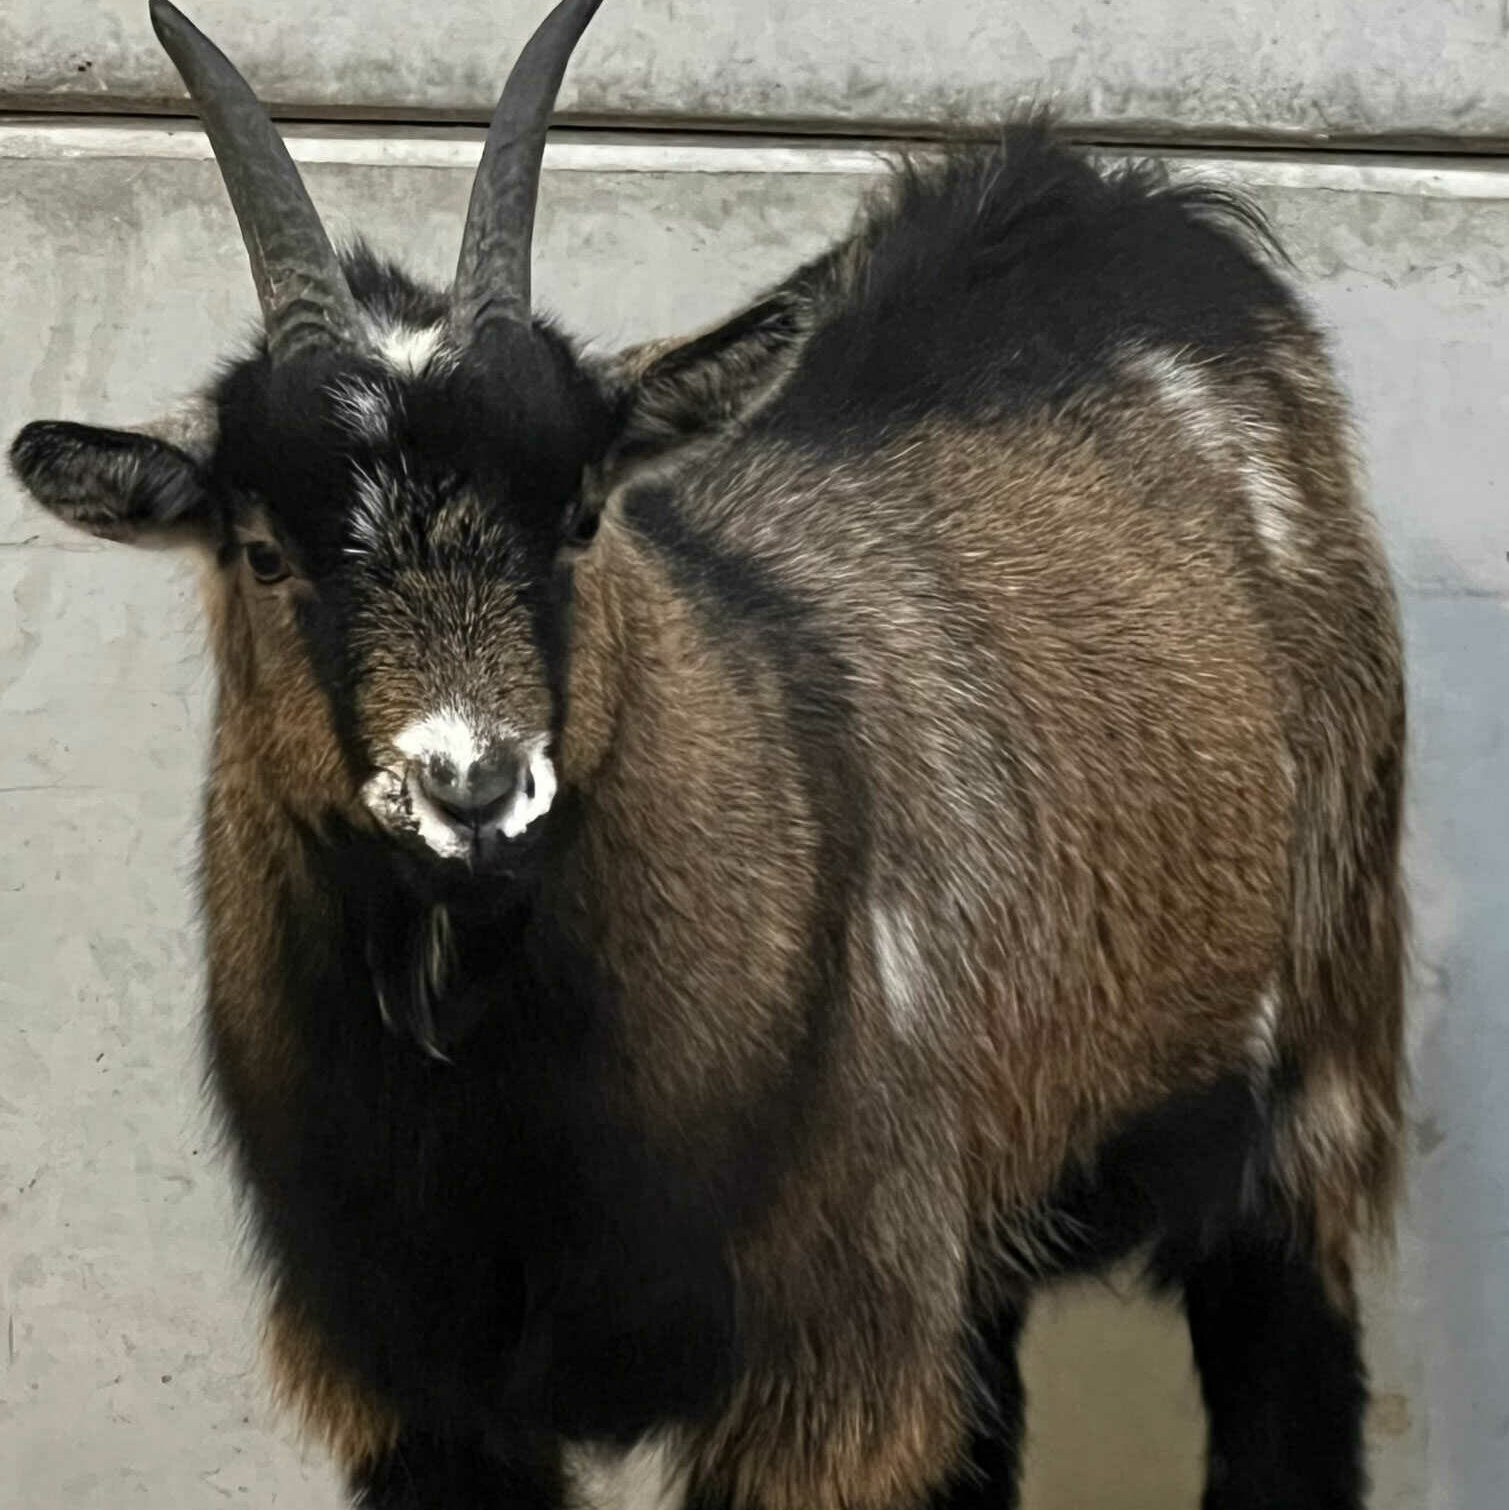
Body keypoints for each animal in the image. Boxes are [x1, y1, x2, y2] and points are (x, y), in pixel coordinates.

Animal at [9, 3, 1406, 1508]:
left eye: (579, 513)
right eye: (262, 548)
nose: (473, 789)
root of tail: (1115, 206)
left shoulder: (825, 1355)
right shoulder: (410, 1379)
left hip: (1316, 1067)